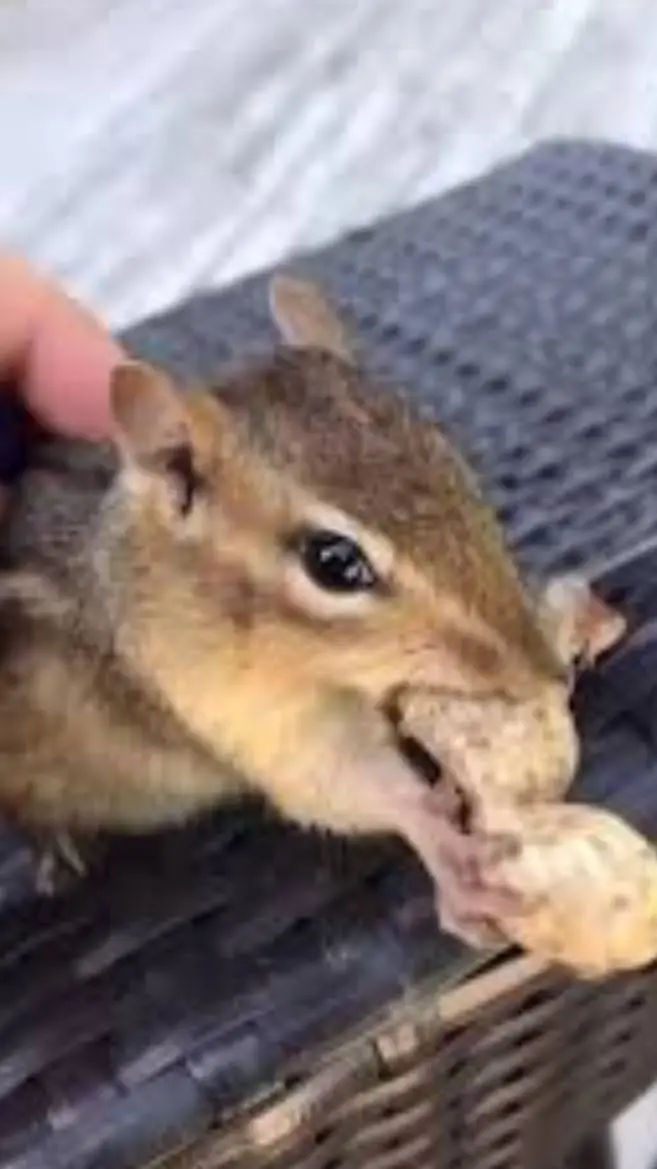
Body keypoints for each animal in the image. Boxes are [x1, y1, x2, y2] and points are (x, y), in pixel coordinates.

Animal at [0, 274, 613, 940]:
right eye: (334, 562)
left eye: (449, 455)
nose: (546, 676)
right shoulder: (231, 706)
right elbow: (339, 785)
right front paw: (444, 847)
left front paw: (570, 622)